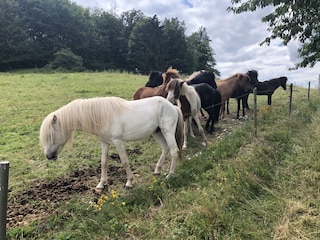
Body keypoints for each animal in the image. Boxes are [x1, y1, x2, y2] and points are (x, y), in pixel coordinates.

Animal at [39, 95, 185, 189]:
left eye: (51, 135)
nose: (48, 156)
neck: (102, 116)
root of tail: (172, 107)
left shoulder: (118, 142)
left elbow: (124, 161)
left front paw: (129, 183)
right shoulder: (105, 143)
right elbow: (103, 162)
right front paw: (101, 184)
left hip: (167, 132)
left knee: (173, 151)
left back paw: (170, 175)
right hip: (157, 132)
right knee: (165, 149)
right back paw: (157, 170)